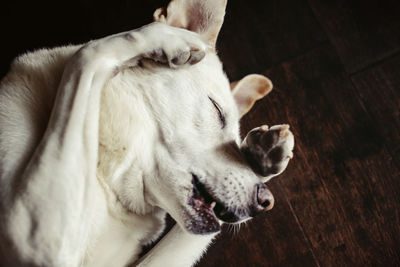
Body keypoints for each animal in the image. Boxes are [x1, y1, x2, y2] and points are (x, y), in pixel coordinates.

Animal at [0, 0, 294, 267]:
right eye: (217, 111)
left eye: (236, 141)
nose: (266, 201)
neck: (107, 174)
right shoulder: (33, 232)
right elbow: (90, 51)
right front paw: (164, 36)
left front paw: (264, 155)